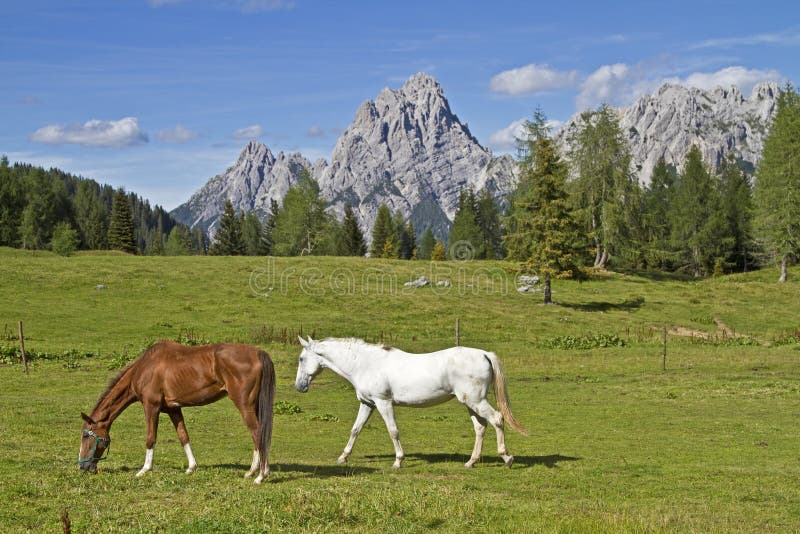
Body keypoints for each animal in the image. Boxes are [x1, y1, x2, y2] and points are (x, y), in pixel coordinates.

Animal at [78, 341, 275, 484]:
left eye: (86, 436)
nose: (83, 467)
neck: (145, 368)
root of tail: (258, 353)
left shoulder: (151, 406)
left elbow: (150, 438)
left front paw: (144, 470)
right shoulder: (173, 409)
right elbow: (183, 436)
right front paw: (191, 467)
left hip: (244, 405)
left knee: (257, 433)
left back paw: (261, 475)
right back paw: (251, 472)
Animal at [294, 336, 526, 469]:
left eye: (301, 359)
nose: (299, 386)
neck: (365, 364)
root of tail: (484, 354)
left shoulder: (383, 403)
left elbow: (393, 431)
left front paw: (398, 461)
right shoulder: (367, 403)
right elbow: (355, 430)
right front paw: (343, 458)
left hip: (476, 401)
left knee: (497, 419)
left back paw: (507, 458)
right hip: (470, 403)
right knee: (480, 427)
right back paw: (471, 462)